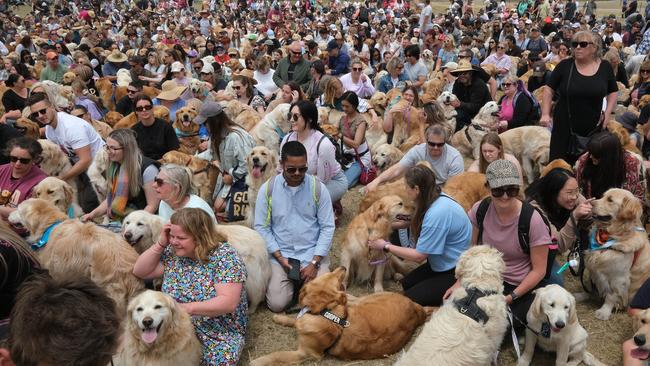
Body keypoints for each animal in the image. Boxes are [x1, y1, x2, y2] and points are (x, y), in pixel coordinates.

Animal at [247, 266, 426, 366]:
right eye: (331, 275)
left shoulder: (307, 353)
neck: (323, 311)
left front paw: (257, 361)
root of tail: (417, 308)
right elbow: (294, 319)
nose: (343, 267)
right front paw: (280, 318)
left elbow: (278, 355)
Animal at [584, 189, 648, 320]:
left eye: (610, 200)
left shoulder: (619, 278)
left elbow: (611, 296)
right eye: (603, 196)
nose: (591, 203)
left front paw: (604, 312)